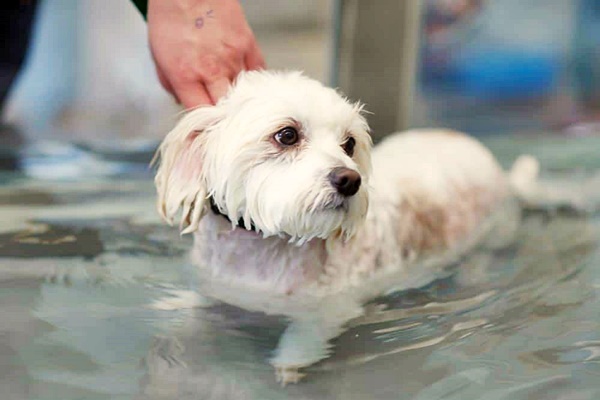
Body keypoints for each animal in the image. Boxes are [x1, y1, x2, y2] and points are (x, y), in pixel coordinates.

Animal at [154, 70, 540, 386]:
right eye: (287, 134)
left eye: (349, 143)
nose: (349, 179)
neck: (259, 254)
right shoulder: (213, 283)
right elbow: (196, 306)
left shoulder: (330, 307)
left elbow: (306, 334)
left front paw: (289, 362)